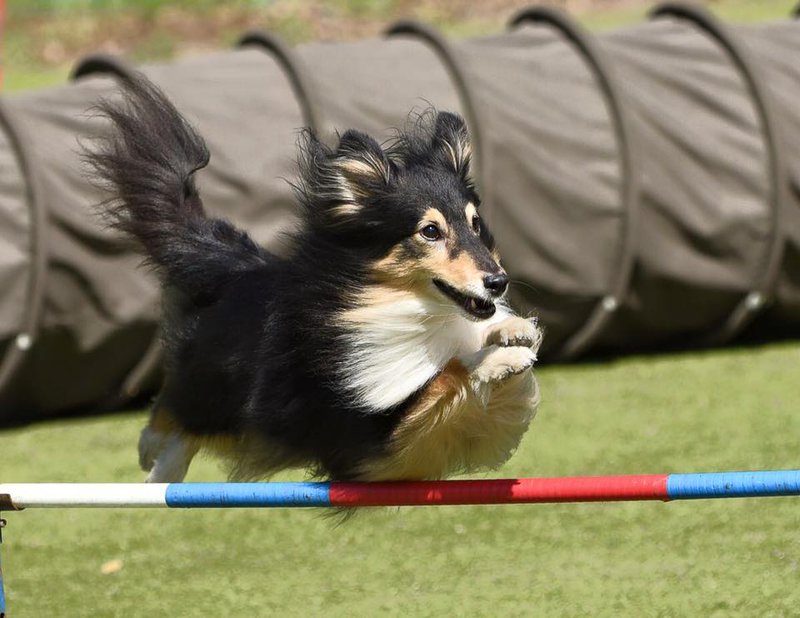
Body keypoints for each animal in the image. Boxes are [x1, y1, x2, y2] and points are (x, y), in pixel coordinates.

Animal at [92, 74, 544, 484]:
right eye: (429, 231)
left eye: (475, 224)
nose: (498, 282)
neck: (400, 304)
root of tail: (241, 265)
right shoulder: (366, 431)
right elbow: (444, 374)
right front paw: (503, 358)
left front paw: (512, 329)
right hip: (217, 377)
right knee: (176, 402)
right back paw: (150, 450)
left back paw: (162, 471)